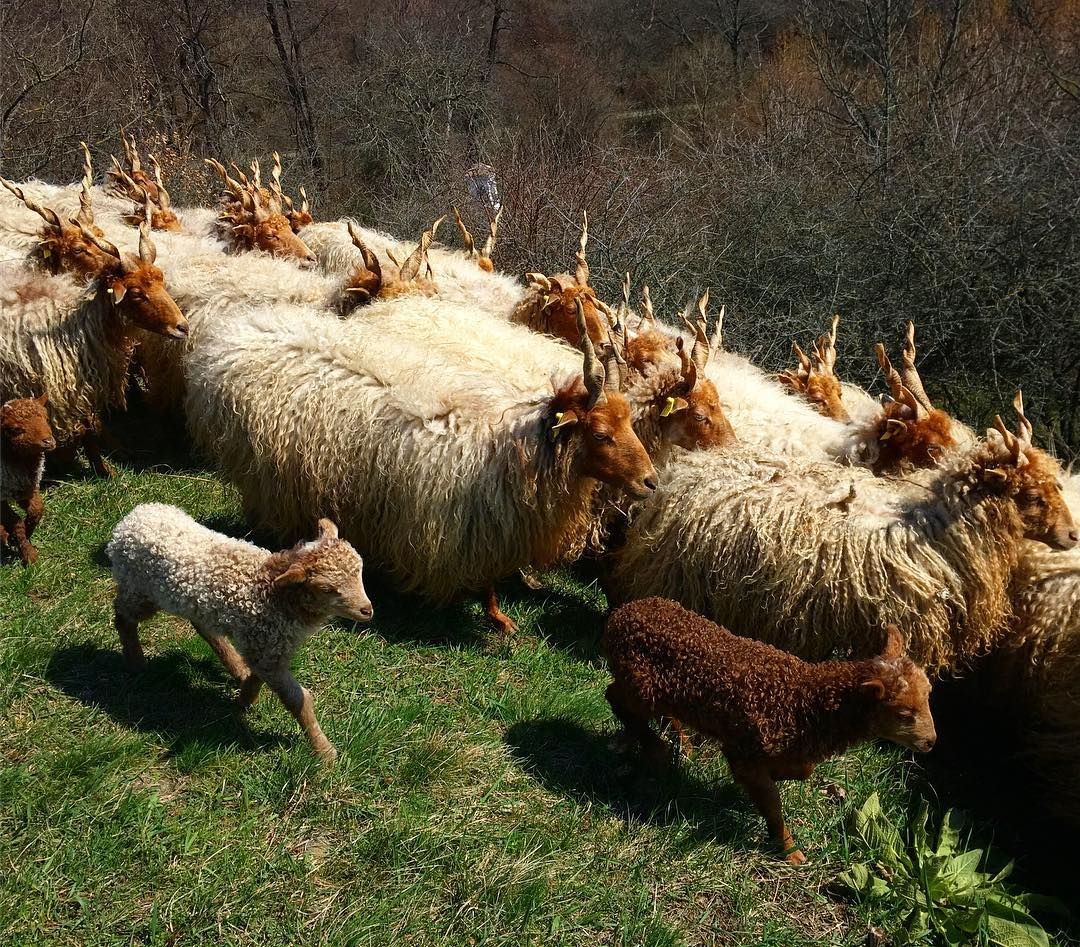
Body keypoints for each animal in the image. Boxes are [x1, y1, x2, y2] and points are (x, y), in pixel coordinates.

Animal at [0, 395, 55, 565]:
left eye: (46, 418)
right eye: (15, 429)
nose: (49, 442)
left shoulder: (26, 487)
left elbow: (37, 510)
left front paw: (26, 532)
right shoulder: (2, 494)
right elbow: (16, 523)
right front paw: (29, 555)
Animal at [108, 503, 373, 760]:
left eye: (360, 571)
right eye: (326, 589)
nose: (367, 610)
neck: (272, 589)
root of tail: (131, 518)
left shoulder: (265, 645)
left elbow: (258, 676)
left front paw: (244, 699)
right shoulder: (266, 645)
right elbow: (298, 700)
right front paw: (325, 751)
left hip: (191, 600)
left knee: (203, 626)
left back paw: (236, 667)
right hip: (139, 590)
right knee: (122, 616)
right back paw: (136, 661)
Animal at [604, 600, 933, 863]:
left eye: (929, 695)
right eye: (903, 714)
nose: (932, 742)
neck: (806, 700)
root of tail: (622, 613)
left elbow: (801, 771)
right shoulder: (745, 752)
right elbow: (772, 803)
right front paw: (789, 851)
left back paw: (681, 747)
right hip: (639, 683)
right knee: (615, 698)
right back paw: (655, 749)